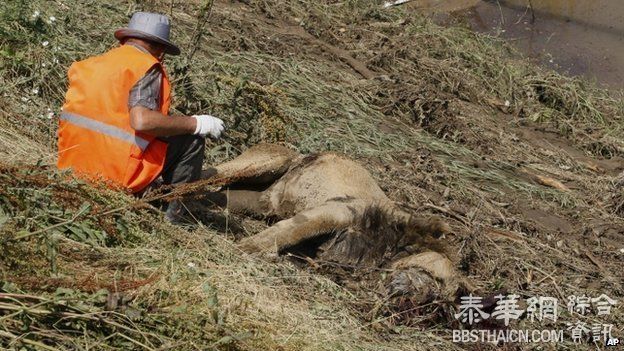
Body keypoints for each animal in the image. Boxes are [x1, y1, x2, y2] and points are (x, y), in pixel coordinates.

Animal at [202, 144, 460, 306]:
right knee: (207, 174)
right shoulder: (335, 211)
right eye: (435, 279)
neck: (387, 249)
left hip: (255, 201)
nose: (425, 301)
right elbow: (290, 231)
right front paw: (246, 248)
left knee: (214, 196)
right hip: (270, 161)